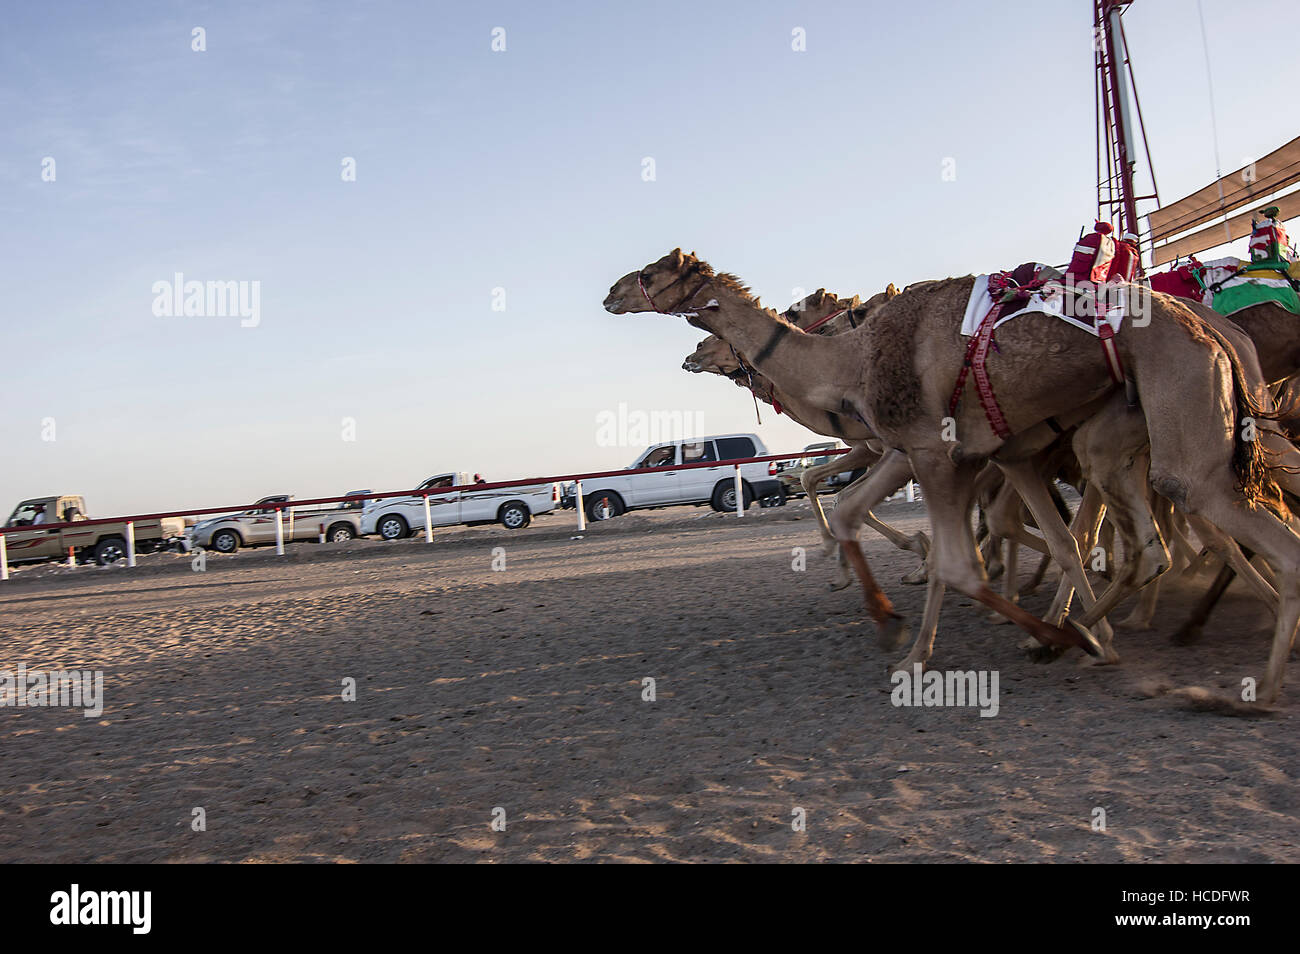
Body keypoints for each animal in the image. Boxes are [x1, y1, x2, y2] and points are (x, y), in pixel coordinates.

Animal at [603, 250, 1300, 707]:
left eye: (653, 271)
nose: (611, 293)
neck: (851, 363)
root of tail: (1214, 332)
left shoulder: (926, 452)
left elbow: (960, 561)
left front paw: (941, 638)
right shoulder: (969, 455)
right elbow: (926, 534)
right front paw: (906, 633)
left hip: (1185, 430)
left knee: (1229, 524)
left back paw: (1248, 680)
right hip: (1120, 439)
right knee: (1155, 542)